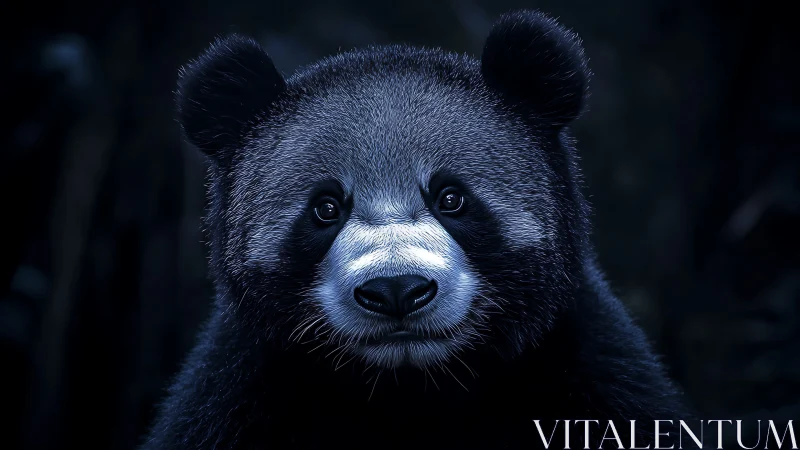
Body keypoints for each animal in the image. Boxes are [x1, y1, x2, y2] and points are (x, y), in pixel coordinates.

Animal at [141, 9, 687, 450]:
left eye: (451, 198)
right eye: (325, 209)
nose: (396, 290)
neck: (413, 387)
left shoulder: (589, 372)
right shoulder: (238, 394)